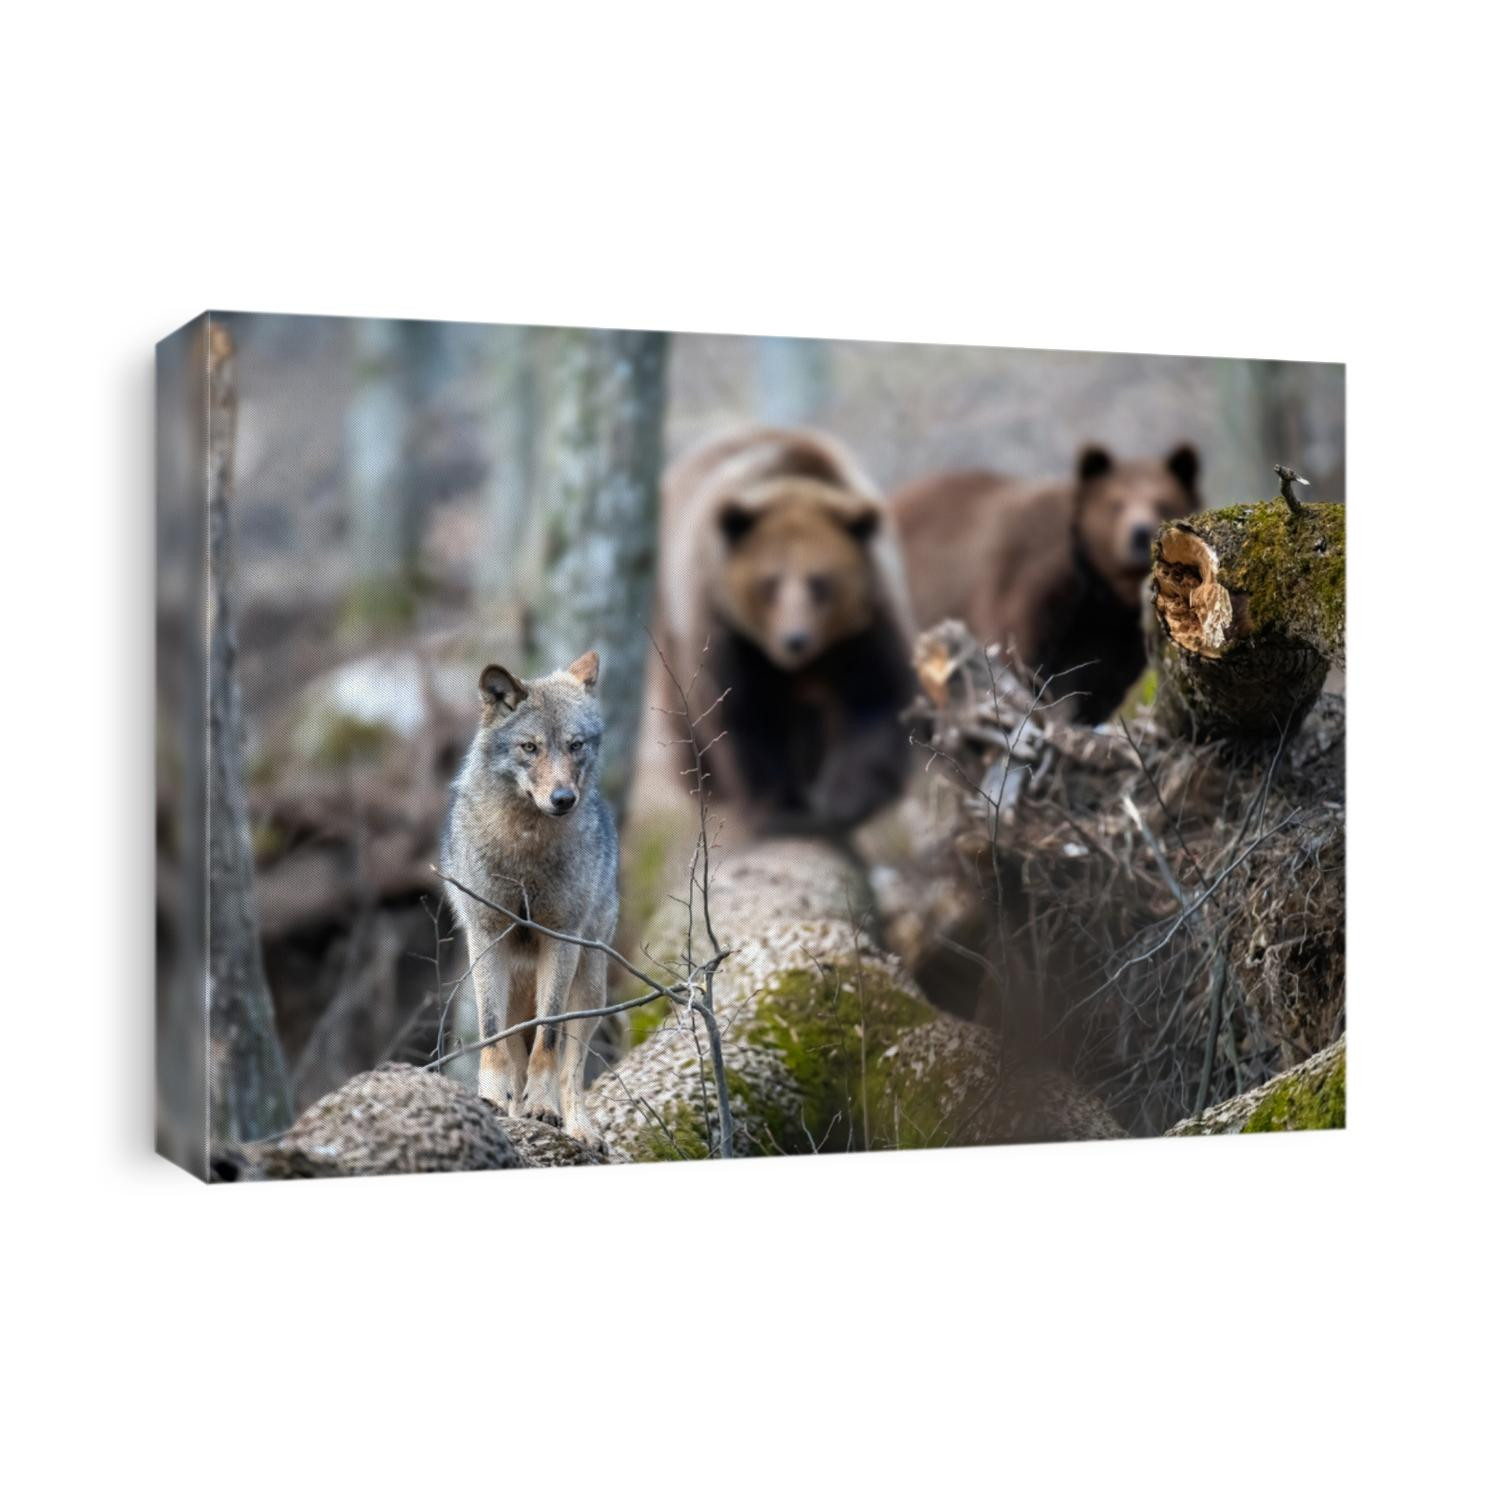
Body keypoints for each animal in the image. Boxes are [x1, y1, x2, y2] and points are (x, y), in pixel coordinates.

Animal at [440, 650, 619, 1150]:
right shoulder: (487, 936)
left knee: (572, 1068)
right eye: (530, 747)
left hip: (589, 986)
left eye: (575, 745)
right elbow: (491, 1033)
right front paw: (492, 1099)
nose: (563, 798)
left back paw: (578, 1127)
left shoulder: (560, 937)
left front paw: (543, 1109)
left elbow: (549, 1039)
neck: (526, 846)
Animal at [651, 426, 916, 832]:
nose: (795, 641)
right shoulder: (728, 629)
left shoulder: (863, 625)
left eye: (820, 582)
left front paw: (843, 800)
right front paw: (779, 807)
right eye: (769, 583)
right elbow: (744, 712)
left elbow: (875, 697)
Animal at [892, 444, 1202, 722]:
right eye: (1116, 503)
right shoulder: (1029, 590)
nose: (1139, 533)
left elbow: (1097, 690)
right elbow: (1021, 663)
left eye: (1162, 501)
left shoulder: (1116, 636)